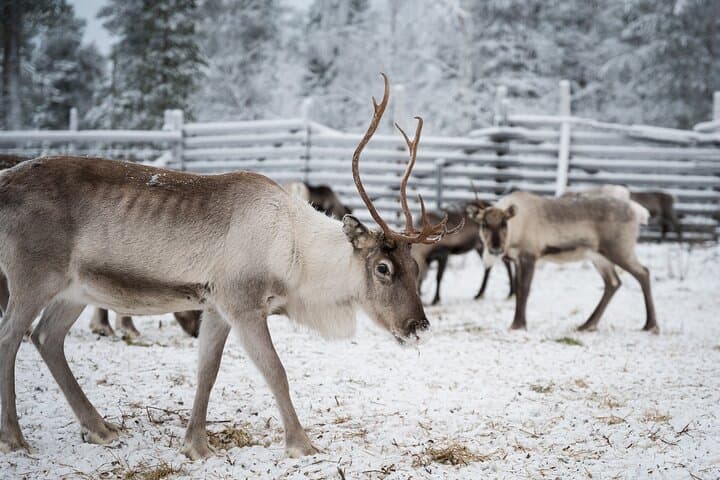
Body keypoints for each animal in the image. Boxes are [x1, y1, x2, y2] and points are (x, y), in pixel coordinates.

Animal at [0, 74, 462, 458]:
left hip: (75, 289)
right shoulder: (243, 305)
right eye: (383, 268)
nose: (418, 326)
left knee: (46, 336)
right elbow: (276, 372)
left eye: (416, 268)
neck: (295, 260)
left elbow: (207, 371)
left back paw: (100, 427)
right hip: (32, 275)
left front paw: (196, 446)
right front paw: (301, 445)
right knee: (11, 336)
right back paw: (16, 438)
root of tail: (5, 182)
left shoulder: (215, 307)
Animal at [466, 190, 658, 333]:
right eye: (484, 224)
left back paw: (651, 325)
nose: (496, 248)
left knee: (643, 272)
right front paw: (518, 323)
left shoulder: (529, 256)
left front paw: (518, 325)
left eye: (504, 223)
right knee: (613, 282)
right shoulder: (516, 260)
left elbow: (524, 290)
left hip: (620, 250)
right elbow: (518, 289)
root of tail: (638, 211)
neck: (516, 230)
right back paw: (587, 325)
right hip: (599, 256)